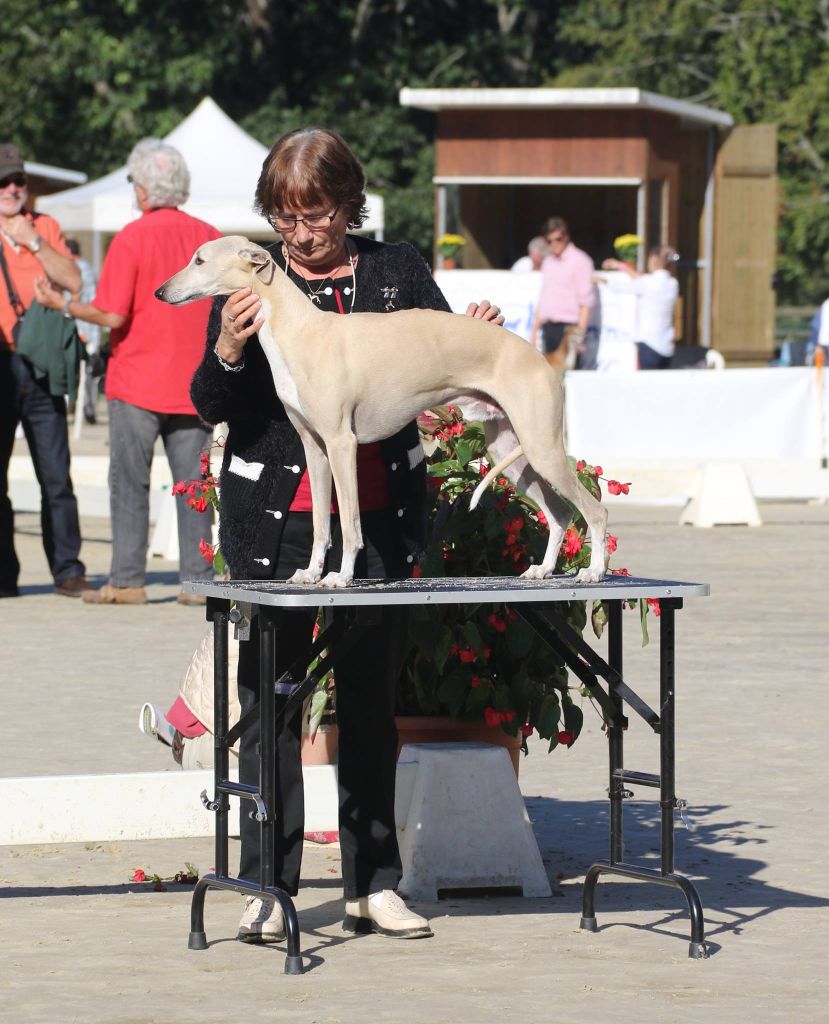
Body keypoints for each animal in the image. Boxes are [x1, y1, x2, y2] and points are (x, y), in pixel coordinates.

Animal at [156, 236, 605, 589]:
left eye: (199, 259)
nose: (160, 292)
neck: (300, 330)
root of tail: (541, 359)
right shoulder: (314, 448)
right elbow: (320, 524)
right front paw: (310, 573)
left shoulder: (342, 443)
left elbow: (349, 523)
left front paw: (339, 576)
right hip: (511, 452)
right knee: (560, 513)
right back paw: (542, 570)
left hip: (541, 447)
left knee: (593, 510)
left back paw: (594, 572)